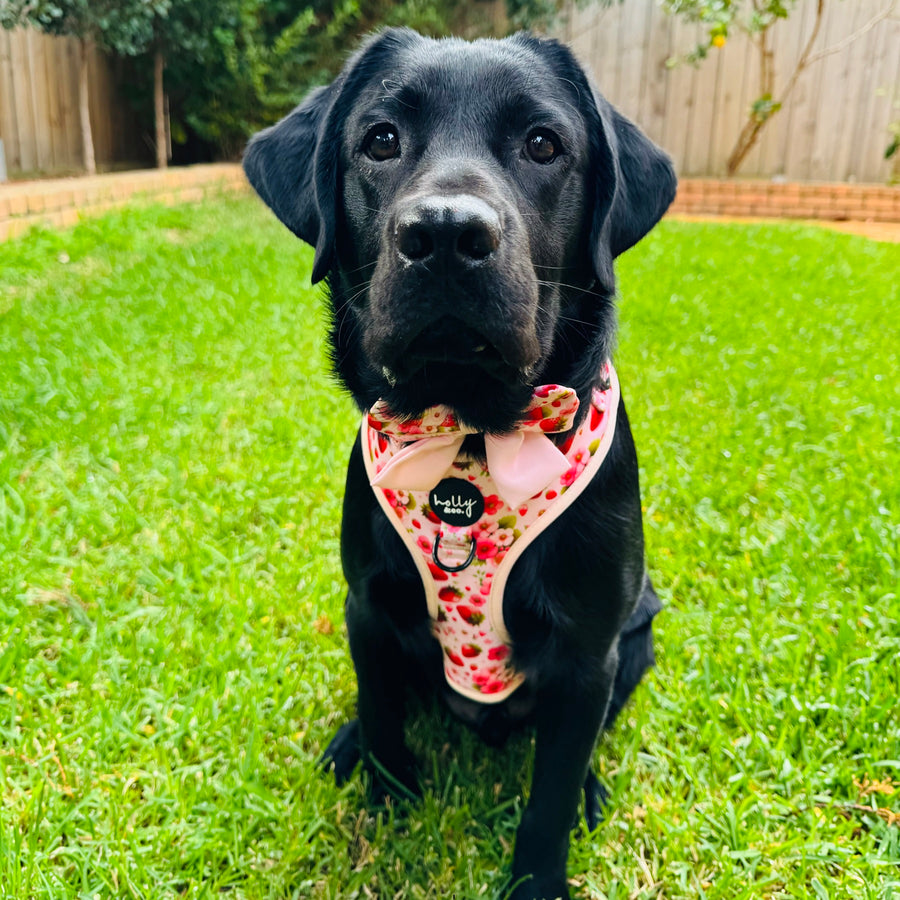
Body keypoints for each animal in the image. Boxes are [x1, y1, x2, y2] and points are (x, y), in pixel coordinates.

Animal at [243, 27, 676, 900]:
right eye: (380, 140)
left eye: (543, 144)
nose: (445, 232)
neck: (473, 441)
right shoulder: (368, 605)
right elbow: (382, 714)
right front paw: (383, 806)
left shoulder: (589, 652)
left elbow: (549, 791)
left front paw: (538, 878)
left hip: (638, 635)